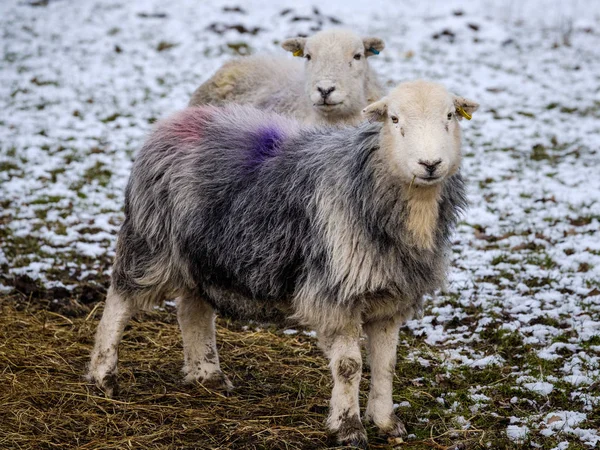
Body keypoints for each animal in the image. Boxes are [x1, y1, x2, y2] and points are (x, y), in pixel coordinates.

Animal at [86, 81, 478, 446]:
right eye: (394, 120)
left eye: (450, 116)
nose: (430, 164)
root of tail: (175, 120)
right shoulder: (335, 295)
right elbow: (349, 367)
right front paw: (348, 428)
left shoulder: (389, 296)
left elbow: (386, 365)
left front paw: (385, 422)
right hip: (153, 242)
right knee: (119, 300)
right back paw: (103, 375)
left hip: (203, 253)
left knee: (192, 312)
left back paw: (207, 375)